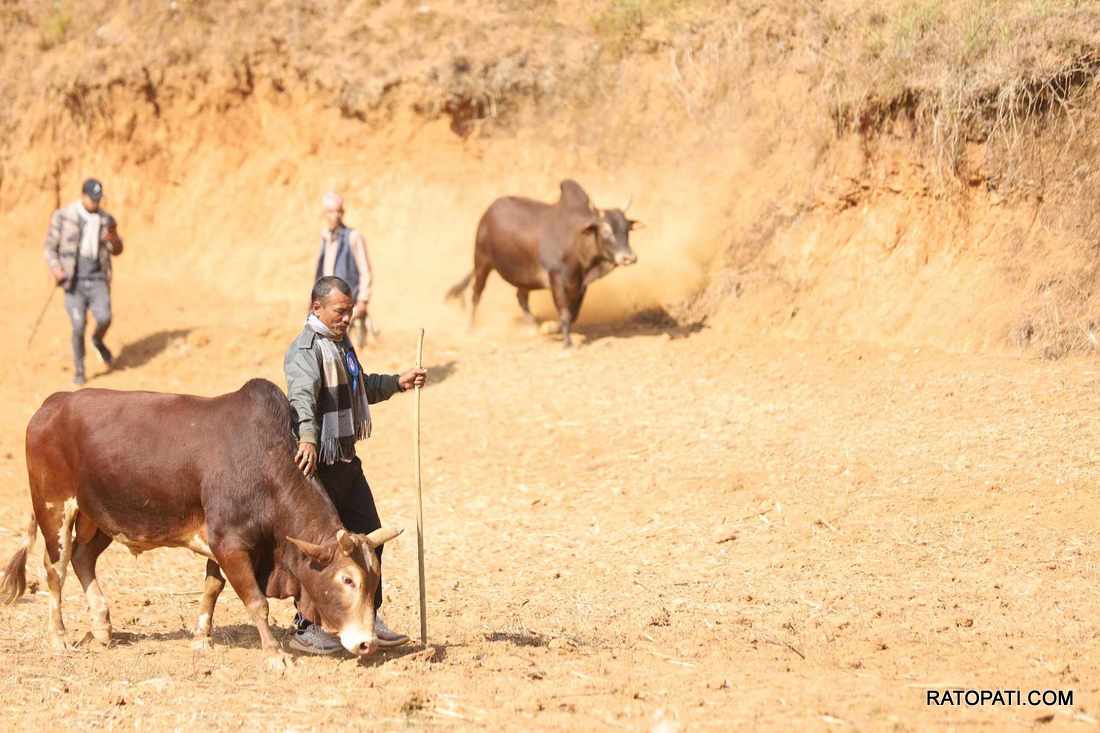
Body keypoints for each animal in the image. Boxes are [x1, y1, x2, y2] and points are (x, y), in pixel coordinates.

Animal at [0, 378, 396, 664]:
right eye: (347, 579)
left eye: (374, 578)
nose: (367, 643)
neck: (265, 463)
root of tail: (52, 404)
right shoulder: (230, 543)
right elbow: (257, 602)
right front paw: (273, 655)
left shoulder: (221, 544)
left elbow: (211, 588)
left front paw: (202, 639)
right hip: (55, 508)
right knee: (55, 571)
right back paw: (59, 637)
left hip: (99, 517)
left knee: (83, 559)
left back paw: (102, 627)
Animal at [444, 179, 642, 345]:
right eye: (606, 231)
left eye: (627, 229)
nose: (629, 257)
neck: (578, 243)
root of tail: (488, 212)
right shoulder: (556, 280)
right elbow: (564, 313)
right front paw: (566, 342)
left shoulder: (581, 285)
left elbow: (573, 314)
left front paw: (550, 328)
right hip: (482, 262)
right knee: (476, 295)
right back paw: (470, 328)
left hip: (522, 277)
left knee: (521, 298)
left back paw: (533, 327)